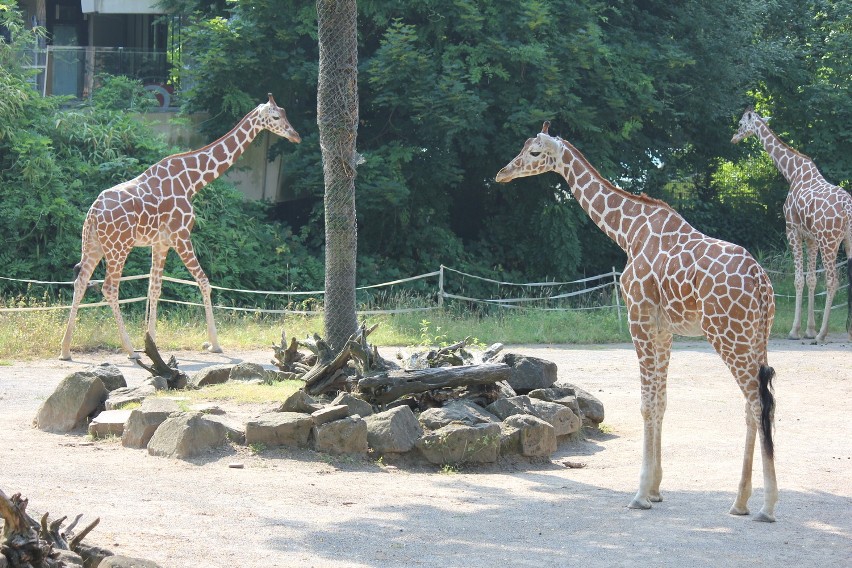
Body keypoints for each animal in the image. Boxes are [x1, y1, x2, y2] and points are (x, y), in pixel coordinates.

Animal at [60, 93, 302, 360]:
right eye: (276, 117)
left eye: (285, 113)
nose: (296, 135)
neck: (192, 181)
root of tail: (93, 213)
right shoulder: (181, 236)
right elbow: (204, 281)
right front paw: (214, 344)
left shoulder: (161, 242)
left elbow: (155, 288)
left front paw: (152, 344)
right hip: (118, 247)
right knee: (109, 288)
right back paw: (129, 350)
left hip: (94, 245)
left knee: (81, 282)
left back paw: (65, 349)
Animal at [492, 124, 780, 524]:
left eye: (534, 152)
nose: (502, 172)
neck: (628, 231)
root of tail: (760, 281)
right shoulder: (663, 328)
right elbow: (660, 402)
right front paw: (656, 490)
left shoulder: (638, 318)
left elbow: (645, 404)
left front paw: (640, 494)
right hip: (756, 336)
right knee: (757, 405)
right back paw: (740, 502)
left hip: (727, 334)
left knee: (757, 404)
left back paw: (765, 506)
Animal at [732, 108, 852, 344]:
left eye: (741, 123)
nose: (733, 138)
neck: (792, 172)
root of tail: (848, 207)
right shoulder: (811, 237)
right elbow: (812, 279)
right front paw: (809, 329)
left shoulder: (793, 231)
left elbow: (799, 279)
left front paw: (796, 331)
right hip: (846, 241)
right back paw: (846, 331)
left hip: (830, 241)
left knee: (833, 281)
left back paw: (822, 334)